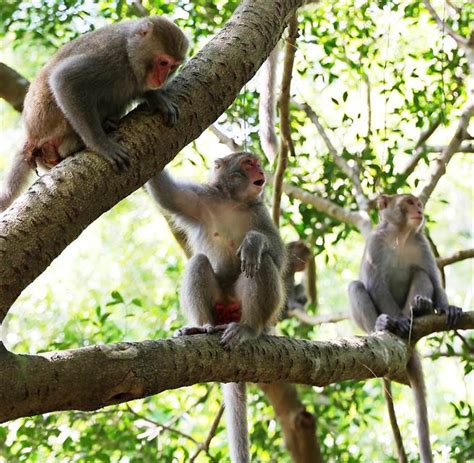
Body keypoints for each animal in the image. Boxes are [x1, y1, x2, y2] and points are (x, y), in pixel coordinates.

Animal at [0, 16, 189, 212]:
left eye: (173, 66)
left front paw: (157, 99)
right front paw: (101, 144)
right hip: (50, 122)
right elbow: (65, 80)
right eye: (163, 63)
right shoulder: (109, 58)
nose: (161, 79)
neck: (130, 52)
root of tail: (31, 135)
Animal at [146, 152, 286, 463]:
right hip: (217, 304)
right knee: (198, 261)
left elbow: (278, 256)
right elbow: (167, 195)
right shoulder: (201, 199)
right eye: (248, 163)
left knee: (261, 264)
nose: (260, 170)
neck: (234, 201)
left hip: (253, 311)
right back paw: (201, 327)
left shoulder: (261, 213)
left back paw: (249, 328)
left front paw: (254, 241)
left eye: (257, 162)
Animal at [346, 193, 462, 463]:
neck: (401, 234)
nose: (419, 209)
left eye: (417, 203)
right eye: (408, 202)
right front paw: (395, 321)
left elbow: (433, 277)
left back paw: (420, 309)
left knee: (421, 273)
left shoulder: (422, 243)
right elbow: (374, 282)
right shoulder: (375, 244)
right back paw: (383, 325)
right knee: (356, 286)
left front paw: (446, 307)